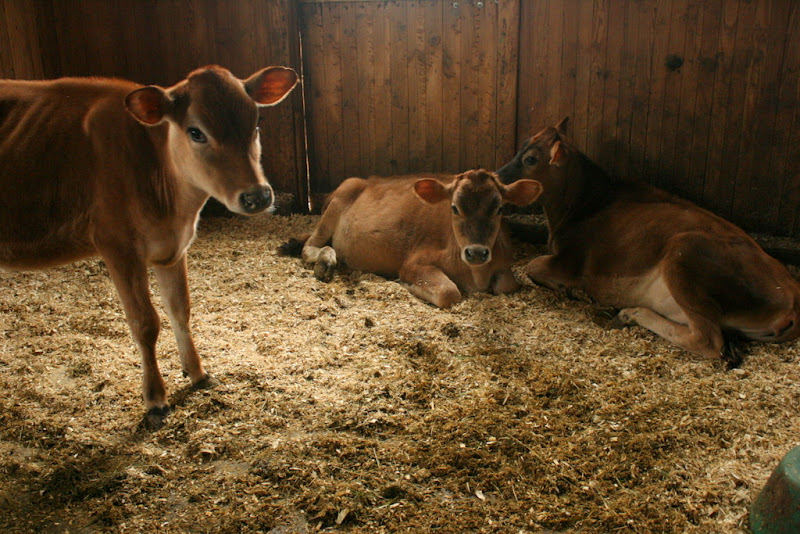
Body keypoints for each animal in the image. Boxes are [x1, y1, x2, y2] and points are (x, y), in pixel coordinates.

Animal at [0, 65, 298, 422]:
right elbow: (144, 323)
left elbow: (180, 309)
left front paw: (197, 372)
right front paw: (155, 398)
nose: (257, 196)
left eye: (255, 124)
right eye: (196, 132)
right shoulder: (117, 247)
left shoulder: (172, 247)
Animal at [284, 170, 540, 308]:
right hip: (334, 207)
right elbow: (449, 292)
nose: (476, 252)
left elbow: (507, 285)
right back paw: (325, 261)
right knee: (310, 246)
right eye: (454, 208)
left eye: (499, 208)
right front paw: (405, 284)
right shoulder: (413, 263)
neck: (476, 274)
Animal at [496, 118, 800, 368]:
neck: (585, 202)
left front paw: (573, 291)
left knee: (707, 339)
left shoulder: (569, 261)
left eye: (531, 159)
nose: (498, 176)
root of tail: (792, 296)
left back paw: (631, 313)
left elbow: (533, 267)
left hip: (684, 250)